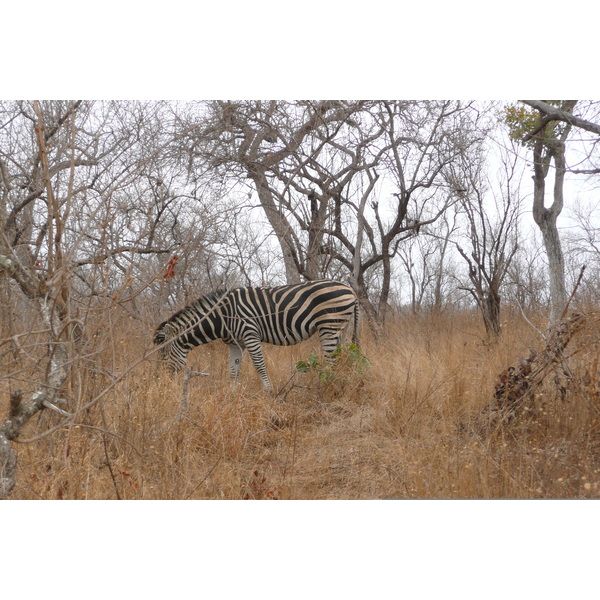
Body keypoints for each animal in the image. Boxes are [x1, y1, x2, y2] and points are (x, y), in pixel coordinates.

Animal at [156, 280, 360, 392]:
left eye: (163, 354)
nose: (161, 382)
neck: (222, 317)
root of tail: (350, 289)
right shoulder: (235, 343)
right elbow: (233, 371)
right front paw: (232, 395)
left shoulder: (250, 334)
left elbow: (259, 366)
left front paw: (269, 392)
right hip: (340, 328)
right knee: (342, 356)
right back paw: (340, 381)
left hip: (329, 325)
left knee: (331, 361)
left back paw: (325, 387)